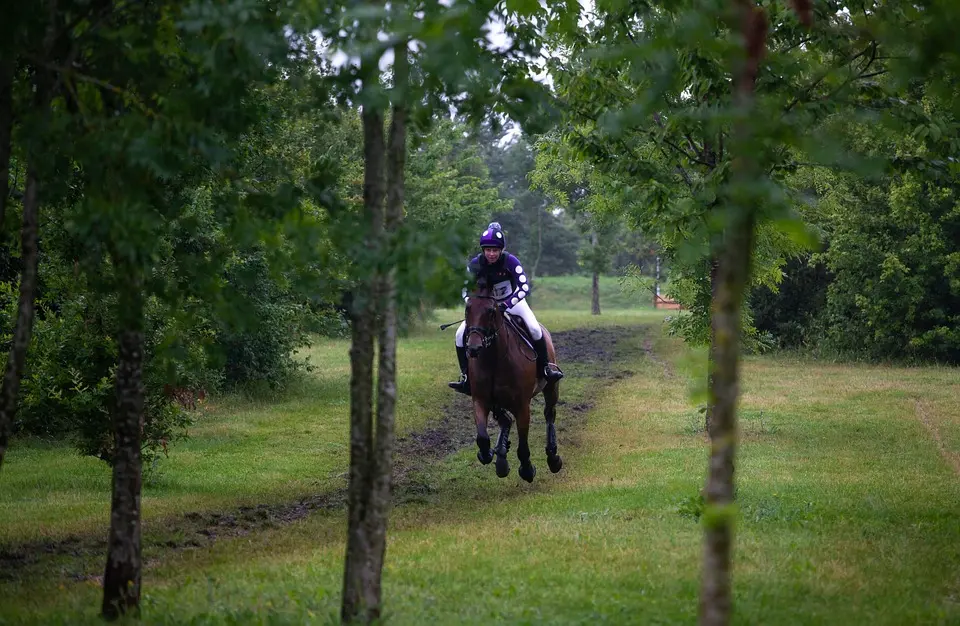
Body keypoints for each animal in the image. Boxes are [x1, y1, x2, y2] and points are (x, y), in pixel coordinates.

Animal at [464, 280, 564, 480]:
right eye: (467, 308)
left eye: (490, 311)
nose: (473, 348)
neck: (494, 359)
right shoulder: (480, 400)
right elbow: (482, 438)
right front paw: (489, 453)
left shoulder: (522, 405)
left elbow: (523, 445)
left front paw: (527, 469)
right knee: (505, 420)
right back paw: (501, 457)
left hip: (551, 387)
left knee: (549, 414)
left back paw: (553, 457)